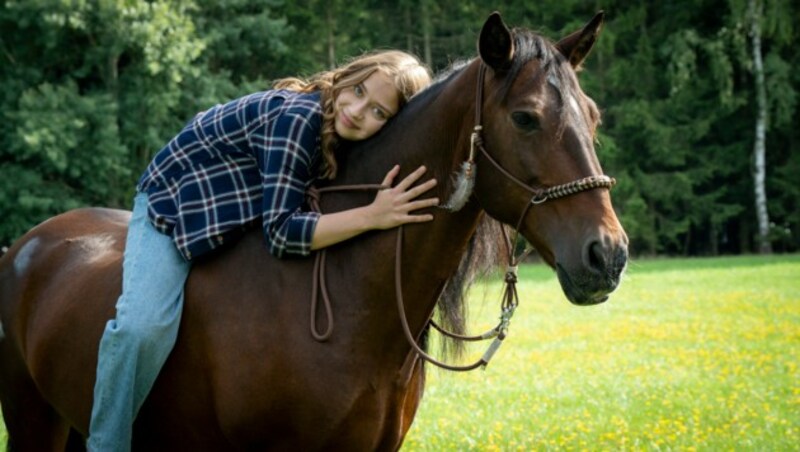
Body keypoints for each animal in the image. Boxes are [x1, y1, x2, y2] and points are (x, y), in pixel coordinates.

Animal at [0, 11, 624, 452]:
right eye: (525, 117)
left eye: (593, 116)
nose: (608, 255)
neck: (345, 303)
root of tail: (27, 246)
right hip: (34, 423)